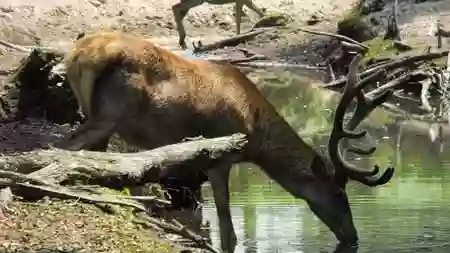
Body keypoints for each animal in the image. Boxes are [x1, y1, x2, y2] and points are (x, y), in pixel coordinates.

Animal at [59, 30, 394, 252]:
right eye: (338, 192)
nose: (353, 236)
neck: (255, 132)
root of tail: (78, 54)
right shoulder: (220, 155)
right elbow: (228, 231)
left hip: (97, 116)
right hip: (109, 114)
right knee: (63, 148)